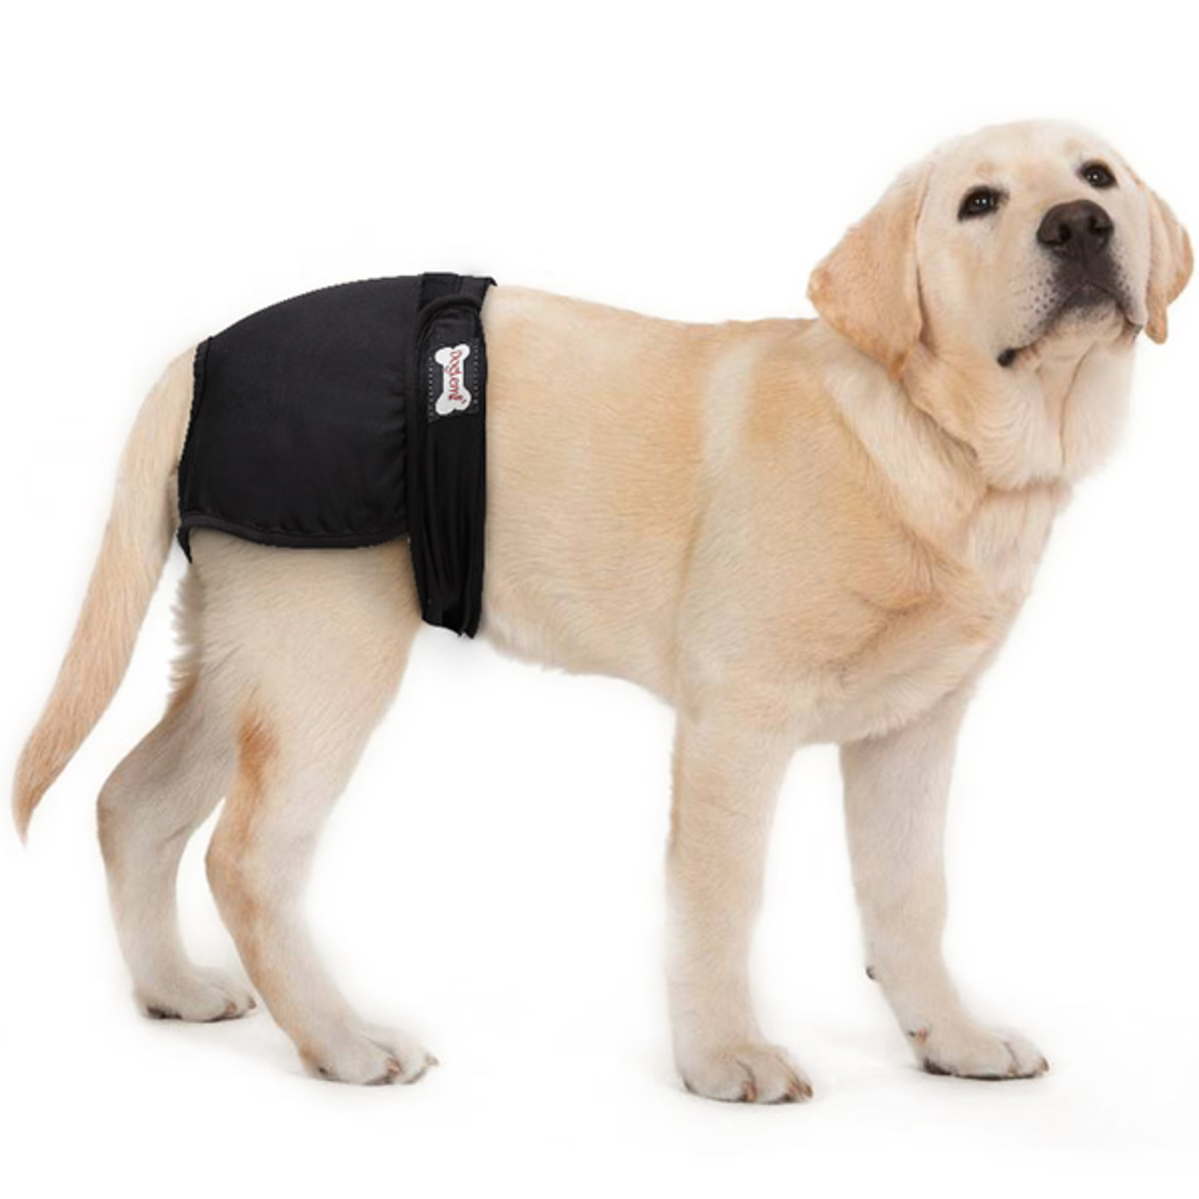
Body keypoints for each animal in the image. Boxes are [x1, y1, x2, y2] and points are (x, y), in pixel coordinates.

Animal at [13, 120, 1190, 1100]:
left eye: (1096, 176)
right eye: (977, 203)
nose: (1078, 225)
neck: (945, 447)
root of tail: (201, 353)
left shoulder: (911, 731)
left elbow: (909, 896)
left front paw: (951, 1039)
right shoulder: (736, 720)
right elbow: (718, 898)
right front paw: (724, 1057)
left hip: (240, 654)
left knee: (131, 800)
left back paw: (173, 988)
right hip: (322, 653)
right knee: (244, 855)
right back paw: (342, 1043)